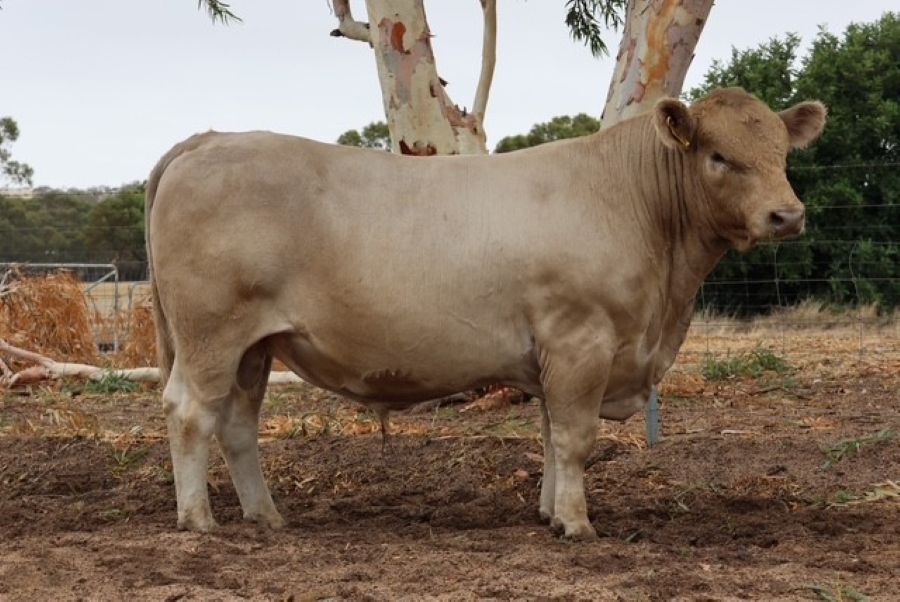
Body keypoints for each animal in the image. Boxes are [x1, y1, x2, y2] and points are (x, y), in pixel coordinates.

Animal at [146, 88, 825, 540]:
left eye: (781, 152)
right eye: (718, 156)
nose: (787, 215)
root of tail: (210, 139)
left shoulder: (556, 353)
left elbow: (551, 436)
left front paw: (550, 513)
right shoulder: (581, 340)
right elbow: (575, 437)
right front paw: (577, 524)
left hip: (254, 346)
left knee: (237, 424)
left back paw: (266, 516)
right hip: (211, 334)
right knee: (190, 413)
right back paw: (198, 521)